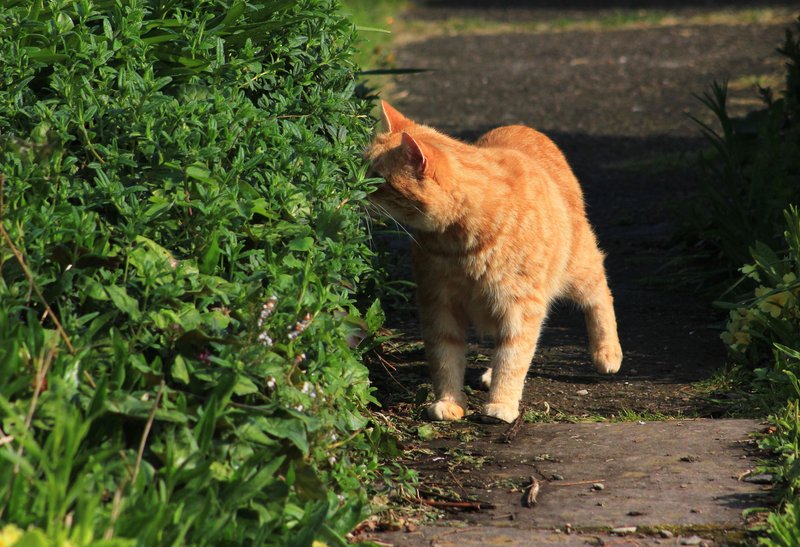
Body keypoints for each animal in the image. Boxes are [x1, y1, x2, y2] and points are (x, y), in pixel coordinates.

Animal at [366, 101, 620, 424]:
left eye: (378, 178)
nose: (353, 184)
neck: (458, 241)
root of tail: (521, 126)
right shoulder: (437, 304)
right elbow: (445, 358)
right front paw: (449, 402)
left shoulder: (521, 307)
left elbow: (512, 358)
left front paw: (501, 404)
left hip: (577, 268)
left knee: (600, 292)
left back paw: (608, 353)